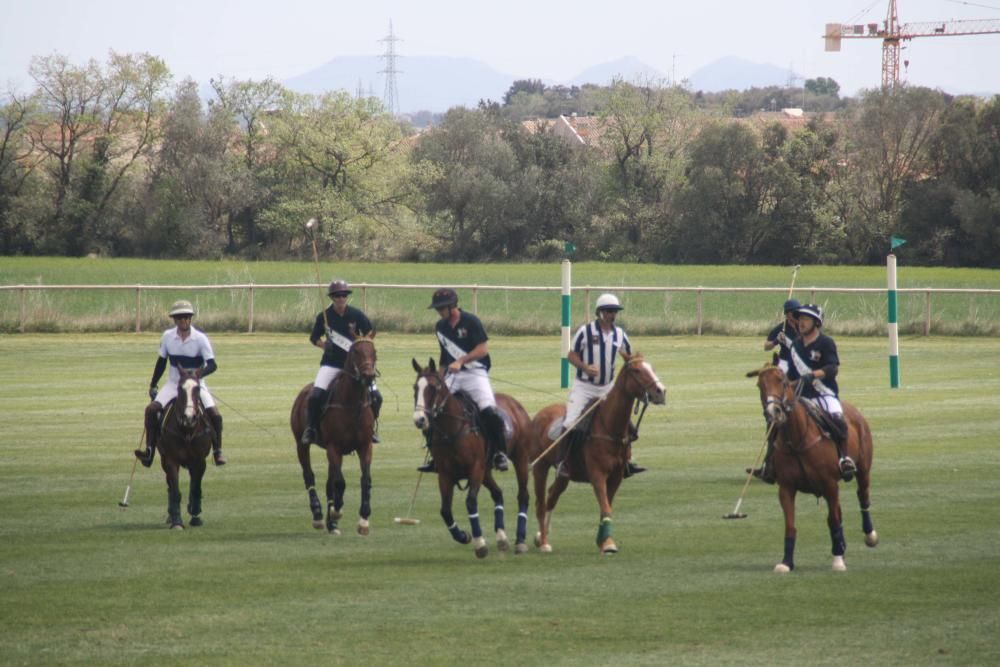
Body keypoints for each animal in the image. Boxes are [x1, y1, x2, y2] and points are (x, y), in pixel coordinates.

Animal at [157, 368, 214, 528]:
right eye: (179, 389)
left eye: (197, 389)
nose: (189, 418)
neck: (187, 431)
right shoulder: (170, 460)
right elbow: (175, 490)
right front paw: (177, 521)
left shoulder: (199, 461)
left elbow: (195, 488)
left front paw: (195, 515)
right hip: (163, 459)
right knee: (170, 485)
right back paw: (171, 514)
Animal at [294, 334, 380, 536]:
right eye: (355, 351)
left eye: (374, 351)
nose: (368, 376)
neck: (353, 402)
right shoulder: (334, 447)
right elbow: (340, 482)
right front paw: (337, 511)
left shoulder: (365, 445)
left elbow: (365, 480)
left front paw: (363, 520)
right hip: (301, 444)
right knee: (309, 476)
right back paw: (318, 516)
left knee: (328, 483)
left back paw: (331, 524)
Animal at [410, 360, 536, 560]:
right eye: (415, 387)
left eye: (434, 388)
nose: (420, 420)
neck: (452, 429)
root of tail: (515, 404)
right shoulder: (445, 474)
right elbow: (445, 511)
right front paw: (463, 536)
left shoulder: (475, 468)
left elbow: (470, 502)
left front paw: (480, 543)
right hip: (486, 470)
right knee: (498, 493)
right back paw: (501, 537)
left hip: (520, 458)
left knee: (523, 495)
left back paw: (520, 541)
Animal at [532, 352, 664, 556]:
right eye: (636, 370)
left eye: (652, 368)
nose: (661, 391)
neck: (610, 428)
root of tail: (540, 413)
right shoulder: (597, 475)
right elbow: (605, 506)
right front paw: (608, 543)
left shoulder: (616, 476)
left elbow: (606, 507)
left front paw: (603, 541)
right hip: (540, 467)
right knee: (540, 503)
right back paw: (544, 542)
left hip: (564, 475)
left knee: (552, 495)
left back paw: (541, 536)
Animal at [748, 366, 880, 576]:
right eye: (759, 385)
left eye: (782, 382)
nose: (773, 412)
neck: (797, 440)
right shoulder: (786, 488)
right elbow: (790, 525)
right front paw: (786, 562)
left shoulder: (829, 484)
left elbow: (833, 520)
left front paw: (837, 561)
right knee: (839, 511)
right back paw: (842, 546)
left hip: (863, 469)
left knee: (862, 496)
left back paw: (869, 536)